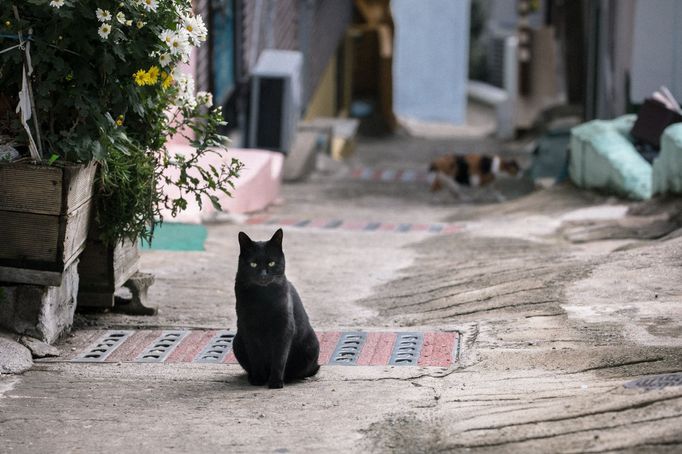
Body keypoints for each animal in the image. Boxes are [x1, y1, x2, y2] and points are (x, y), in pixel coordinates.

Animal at [231, 229, 318, 388]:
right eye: (253, 264)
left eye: (271, 263)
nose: (263, 275)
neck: (262, 297)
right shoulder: (248, 328)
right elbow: (255, 357)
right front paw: (258, 379)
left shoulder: (284, 327)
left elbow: (279, 357)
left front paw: (276, 382)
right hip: (237, 342)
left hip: (311, 346)